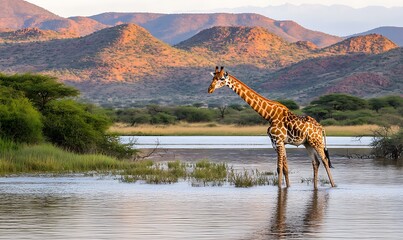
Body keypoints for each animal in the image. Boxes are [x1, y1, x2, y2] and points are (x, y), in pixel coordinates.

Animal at [207, 66, 336, 188]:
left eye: (221, 79)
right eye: (213, 78)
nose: (210, 89)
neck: (269, 115)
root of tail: (321, 128)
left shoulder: (278, 141)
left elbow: (279, 168)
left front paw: (279, 187)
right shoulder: (277, 143)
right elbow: (285, 168)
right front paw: (287, 187)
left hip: (317, 141)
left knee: (324, 160)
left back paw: (333, 185)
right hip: (307, 143)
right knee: (316, 162)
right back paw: (315, 186)